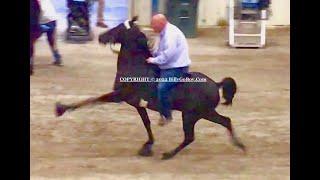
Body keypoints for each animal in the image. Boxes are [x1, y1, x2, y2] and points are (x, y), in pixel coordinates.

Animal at [55, 16, 245, 159]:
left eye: (119, 28)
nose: (101, 37)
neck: (135, 67)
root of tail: (216, 84)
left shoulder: (119, 95)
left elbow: (93, 99)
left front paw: (61, 108)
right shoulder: (137, 104)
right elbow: (146, 124)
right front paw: (147, 146)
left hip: (192, 115)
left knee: (191, 137)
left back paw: (168, 154)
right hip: (204, 113)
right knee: (225, 121)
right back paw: (240, 145)